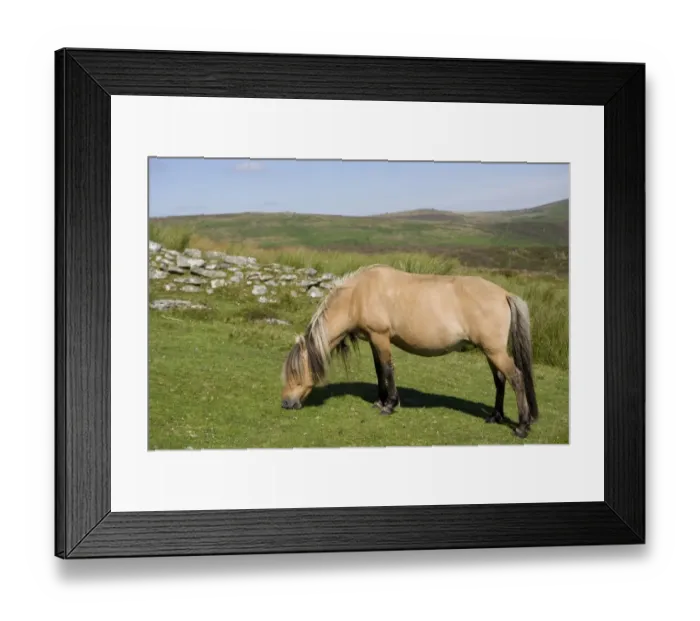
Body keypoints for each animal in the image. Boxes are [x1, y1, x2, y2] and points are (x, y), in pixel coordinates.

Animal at [281, 264, 539, 439]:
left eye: (296, 373)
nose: (286, 403)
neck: (358, 294)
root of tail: (504, 294)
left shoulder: (381, 337)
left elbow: (387, 369)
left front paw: (389, 405)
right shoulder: (373, 340)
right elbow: (379, 371)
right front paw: (379, 401)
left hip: (494, 351)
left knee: (515, 377)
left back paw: (522, 426)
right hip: (490, 351)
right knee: (500, 379)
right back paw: (495, 417)